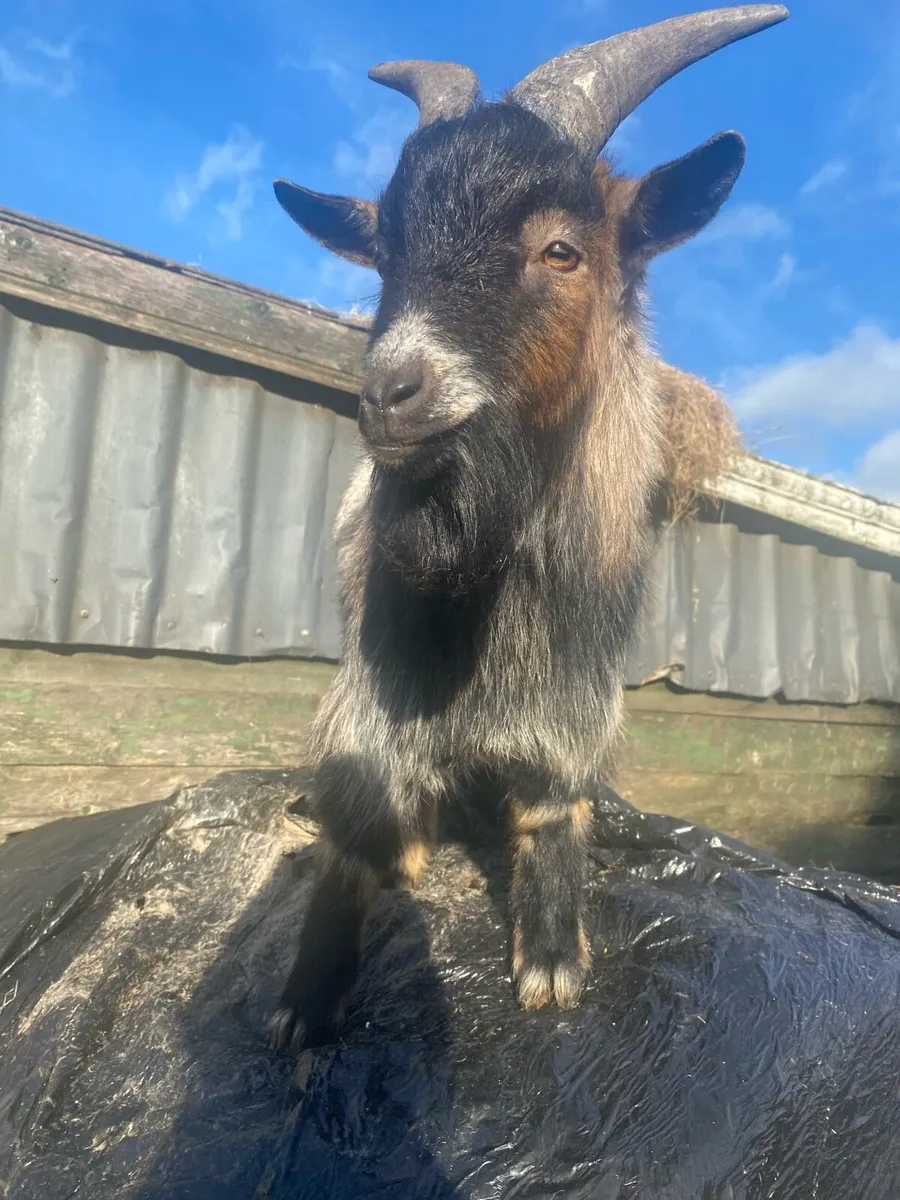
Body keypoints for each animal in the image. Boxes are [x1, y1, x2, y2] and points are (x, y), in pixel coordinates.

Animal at [269, 4, 788, 1049]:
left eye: (562, 251)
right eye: (385, 254)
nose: (389, 393)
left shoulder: (576, 691)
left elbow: (554, 803)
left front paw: (552, 956)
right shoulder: (374, 693)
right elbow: (358, 823)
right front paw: (307, 997)